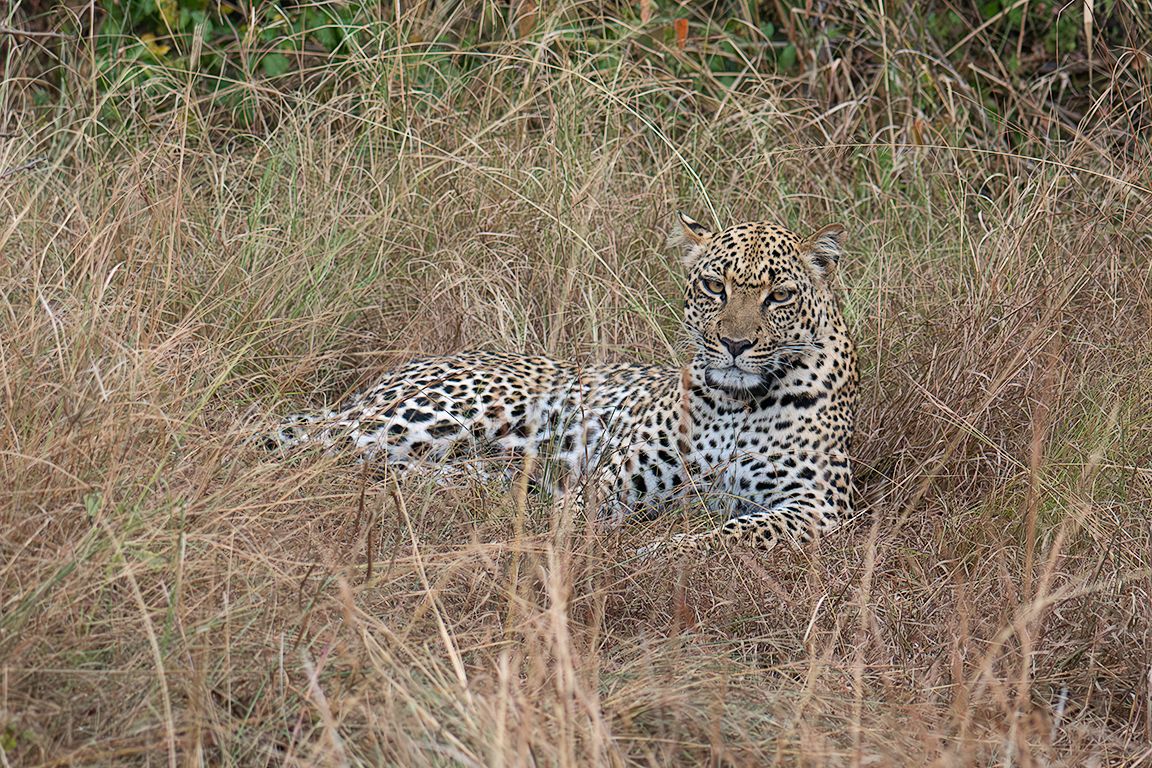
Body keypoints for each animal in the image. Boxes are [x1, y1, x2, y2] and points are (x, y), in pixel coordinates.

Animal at [262, 213, 859, 555]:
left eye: (779, 296)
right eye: (715, 287)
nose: (734, 344)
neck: (737, 403)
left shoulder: (821, 504)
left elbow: (737, 532)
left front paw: (667, 550)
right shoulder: (616, 474)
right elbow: (576, 514)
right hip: (441, 413)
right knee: (300, 437)